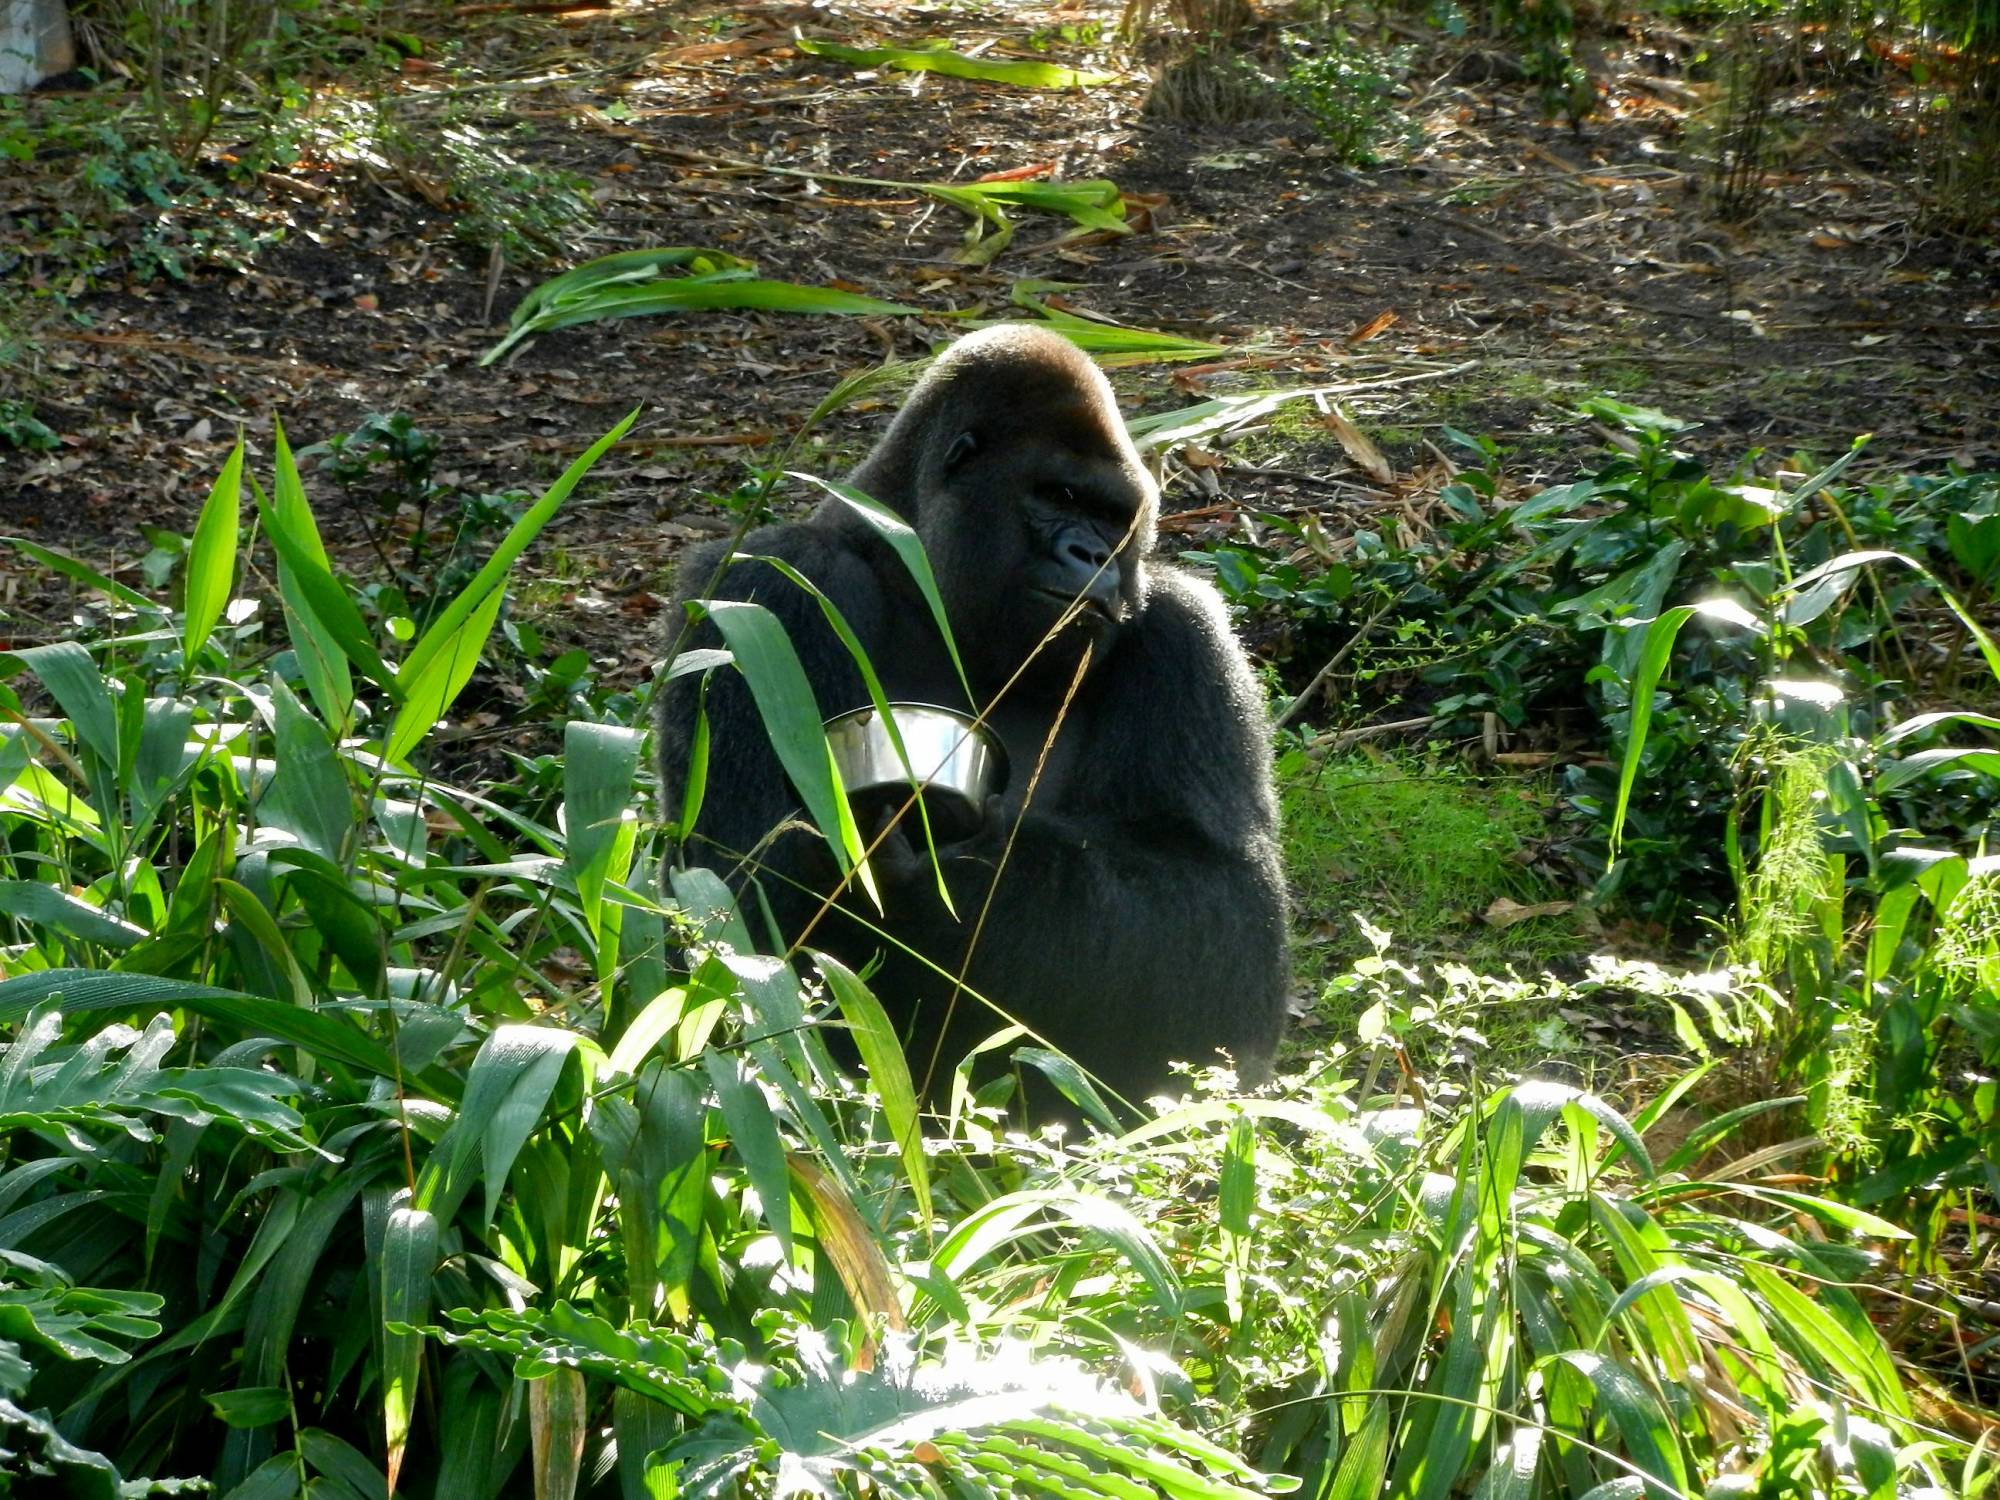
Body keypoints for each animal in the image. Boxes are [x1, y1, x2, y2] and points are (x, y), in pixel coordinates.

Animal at [648, 324, 1288, 1112]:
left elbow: (1222, 912)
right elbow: (739, 883)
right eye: (1057, 495)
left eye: (1113, 518)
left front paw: (956, 873)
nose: (1095, 555)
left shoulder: (1183, 632)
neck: (918, 577)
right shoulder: (766, 588)